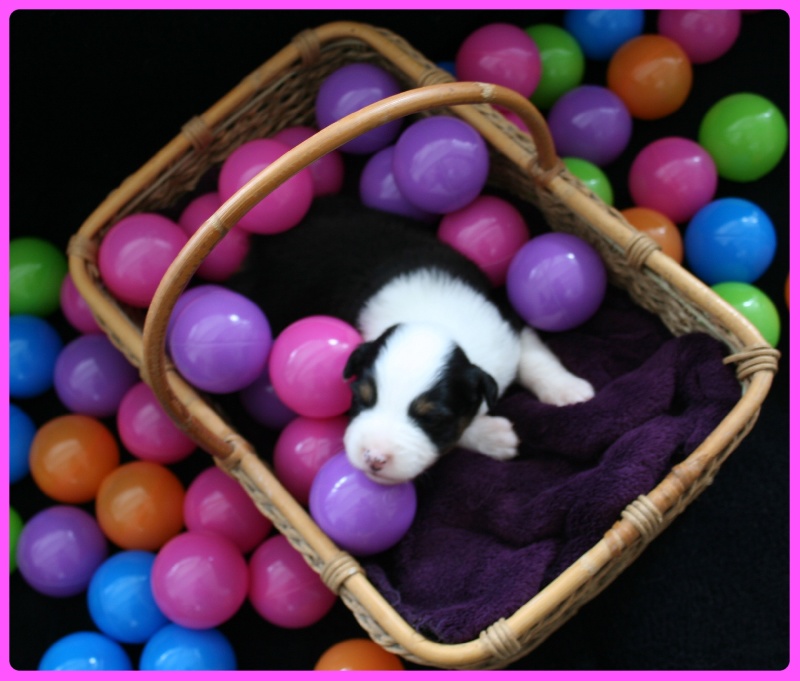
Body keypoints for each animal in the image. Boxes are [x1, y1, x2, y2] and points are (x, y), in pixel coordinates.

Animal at [229, 195, 595, 484]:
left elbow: (533, 354)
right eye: (360, 399)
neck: (435, 320)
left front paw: (570, 391)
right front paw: (495, 436)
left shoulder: (506, 322)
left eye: (431, 417)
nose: (374, 457)